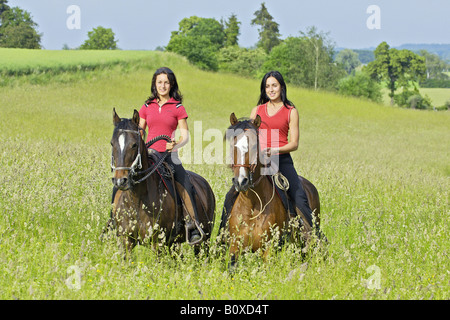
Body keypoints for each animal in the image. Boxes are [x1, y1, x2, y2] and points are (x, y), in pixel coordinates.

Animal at [108, 109, 215, 256]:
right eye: (112, 144)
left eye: (134, 145)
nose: (120, 181)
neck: (137, 200)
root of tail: (205, 184)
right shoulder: (126, 242)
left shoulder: (158, 243)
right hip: (174, 243)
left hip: (204, 241)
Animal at [223, 112, 322, 264]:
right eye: (233, 145)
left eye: (254, 146)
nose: (241, 181)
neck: (253, 203)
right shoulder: (235, 248)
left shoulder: (268, 250)